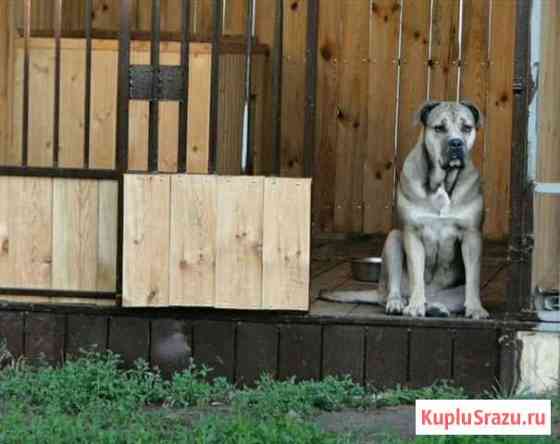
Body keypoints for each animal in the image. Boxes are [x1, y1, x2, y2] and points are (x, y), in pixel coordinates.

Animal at [322, 100, 488, 320]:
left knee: (446, 298)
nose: (456, 143)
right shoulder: (412, 234)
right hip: (393, 241)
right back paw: (398, 303)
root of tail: (378, 290)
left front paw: (476, 308)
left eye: (467, 128)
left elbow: (473, 280)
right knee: (394, 291)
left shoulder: (472, 237)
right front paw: (415, 306)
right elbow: (417, 275)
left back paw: (436, 307)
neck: (441, 184)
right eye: (439, 128)